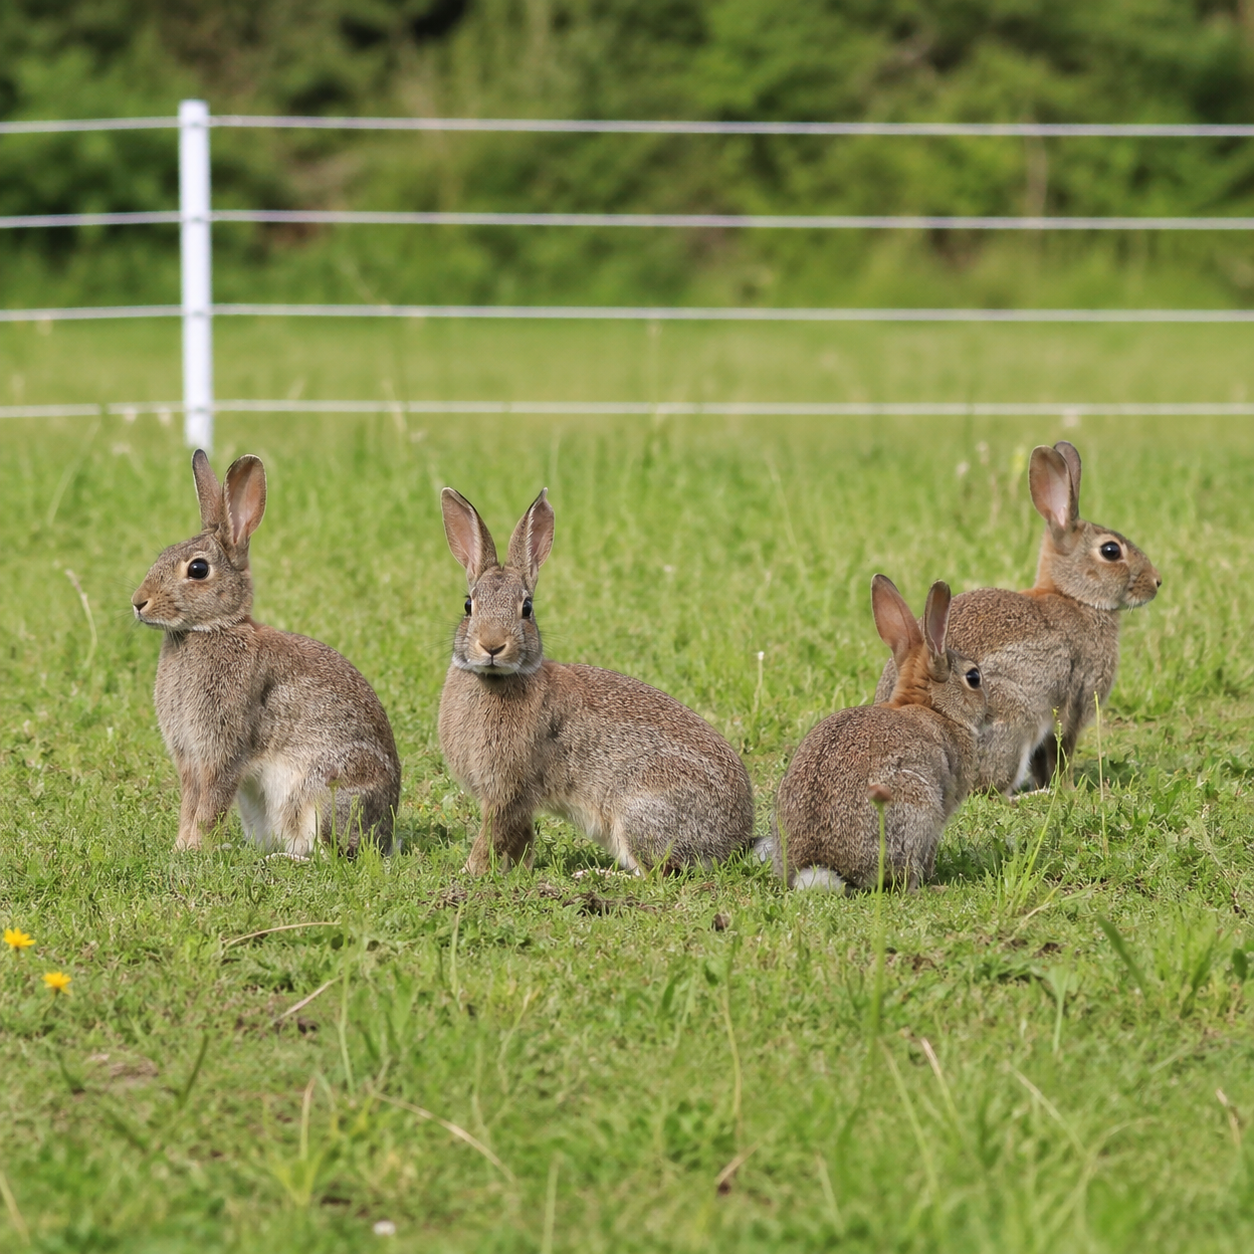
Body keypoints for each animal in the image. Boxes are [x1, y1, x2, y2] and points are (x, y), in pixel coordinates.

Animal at [131, 450, 401, 855]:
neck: (211, 628)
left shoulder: (223, 747)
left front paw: (196, 849)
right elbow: (190, 803)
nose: (138, 603)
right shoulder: (189, 756)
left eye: (198, 569)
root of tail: (385, 831)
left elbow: (209, 804)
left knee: (330, 852)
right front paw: (183, 847)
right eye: (162, 554)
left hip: (325, 792)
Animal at [437, 486, 755, 874]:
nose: (492, 645)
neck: (496, 678)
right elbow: (520, 837)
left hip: (639, 810)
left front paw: (471, 871)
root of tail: (733, 843)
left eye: (527, 609)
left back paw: (595, 873)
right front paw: (517, 870)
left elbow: (492, 835)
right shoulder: (517, 799)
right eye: (469, 606)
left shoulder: (506, 789)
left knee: (658, 872)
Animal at [770, 575, 986, 892]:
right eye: (973, 677)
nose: (989, 707)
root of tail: (820, 866)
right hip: (916, 806)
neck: (934, 708)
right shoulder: (942, 807)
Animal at [874, 441, 1161, 794]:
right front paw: (1068, 789)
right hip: (1015, 714)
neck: (1074, 597)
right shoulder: (1074, 701)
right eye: (1111, 551)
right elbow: (1063, 750)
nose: (1157, 582)